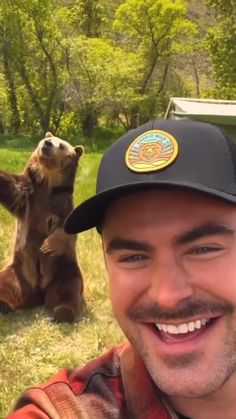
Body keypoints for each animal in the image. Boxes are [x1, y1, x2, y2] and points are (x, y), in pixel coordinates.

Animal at [0, 133, 84, 324]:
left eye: (61, 145)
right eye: (48, 138)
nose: (47, 144)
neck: (46, 183)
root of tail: (37, 293)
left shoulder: (61, 201)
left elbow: (66, 229)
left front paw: (47, 245)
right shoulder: (26, 194)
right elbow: (9, 185)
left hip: (64, 268)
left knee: (68, 290)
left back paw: (63, 311)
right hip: (17, 271)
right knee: (6, 284)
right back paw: (3, 303)